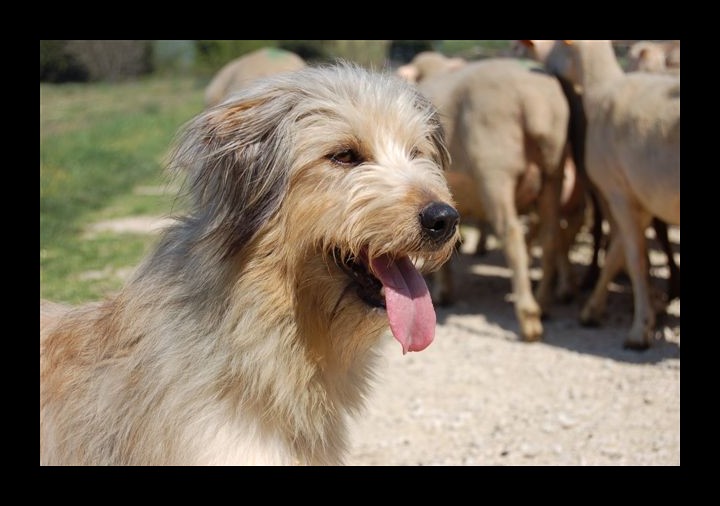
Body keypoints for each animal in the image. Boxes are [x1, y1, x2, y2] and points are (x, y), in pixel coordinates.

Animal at [410, 57, 572, 342]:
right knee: (551, 234)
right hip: (554, 173)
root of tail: (535, 98)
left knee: (512, 234)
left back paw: (529, 317)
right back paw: (543, 303)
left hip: (495, 173)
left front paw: (442, 292)